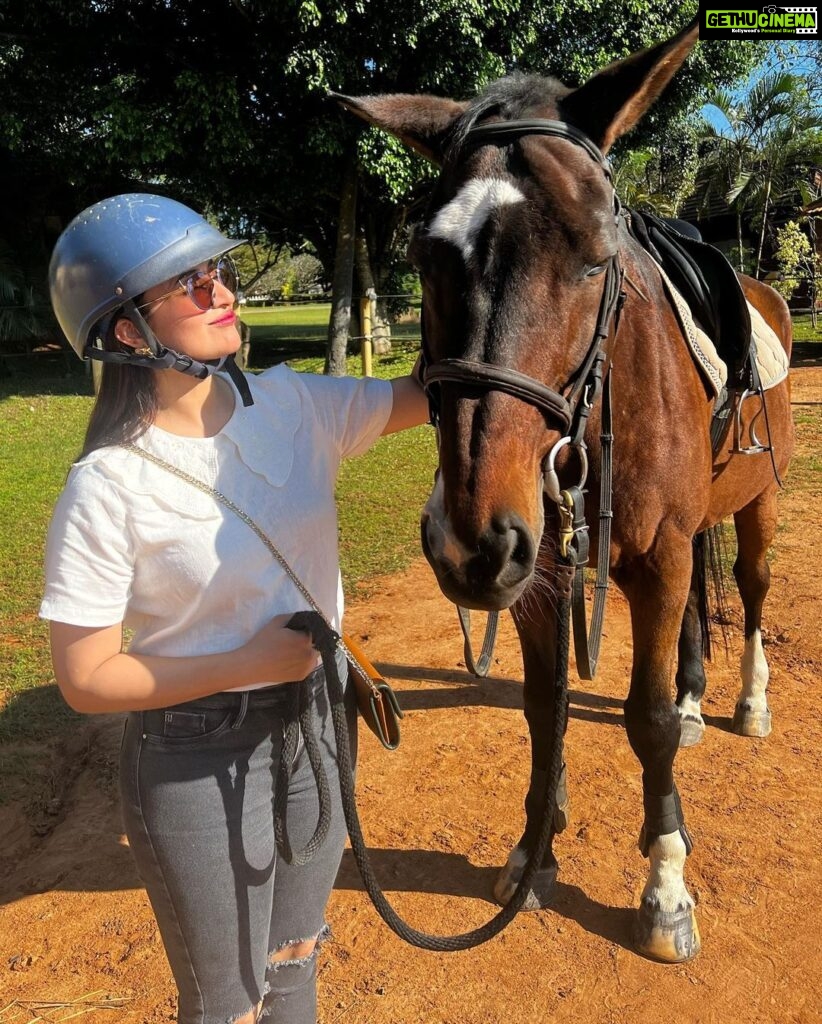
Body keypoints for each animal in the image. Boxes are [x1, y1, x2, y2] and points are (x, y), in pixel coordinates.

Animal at [337, 19, 794, 962]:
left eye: (595, 257)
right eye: (425, 257)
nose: (471, 541)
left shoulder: (650, 558)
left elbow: (645, 721)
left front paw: (666, 888)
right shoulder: (544, 570)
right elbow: (543, 709)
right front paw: (533, 851)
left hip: (757, 502)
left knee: (752, 589)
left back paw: (746, 701)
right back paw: (697, 696)